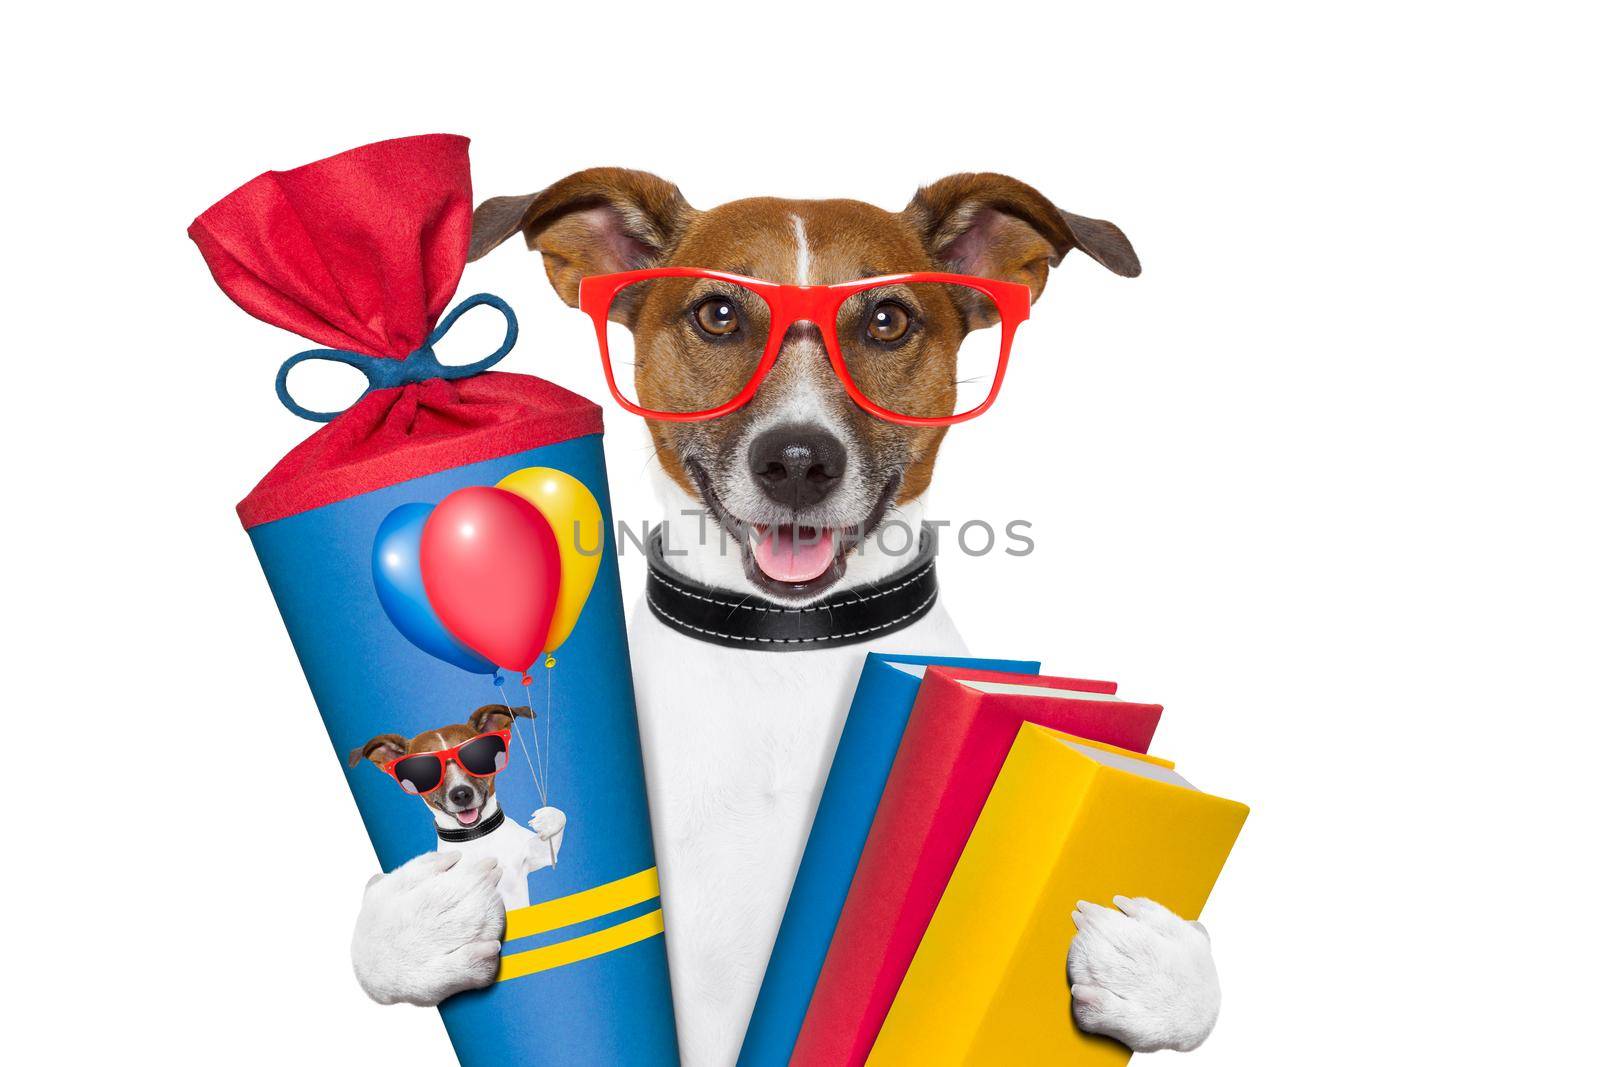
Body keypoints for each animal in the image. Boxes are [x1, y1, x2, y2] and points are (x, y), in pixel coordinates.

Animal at [353, 173, 1222, 1062]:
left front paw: (1147, 964)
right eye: (718, 314)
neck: (785, 648)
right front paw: (426, 921)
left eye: (887, 319)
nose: (798, 461)